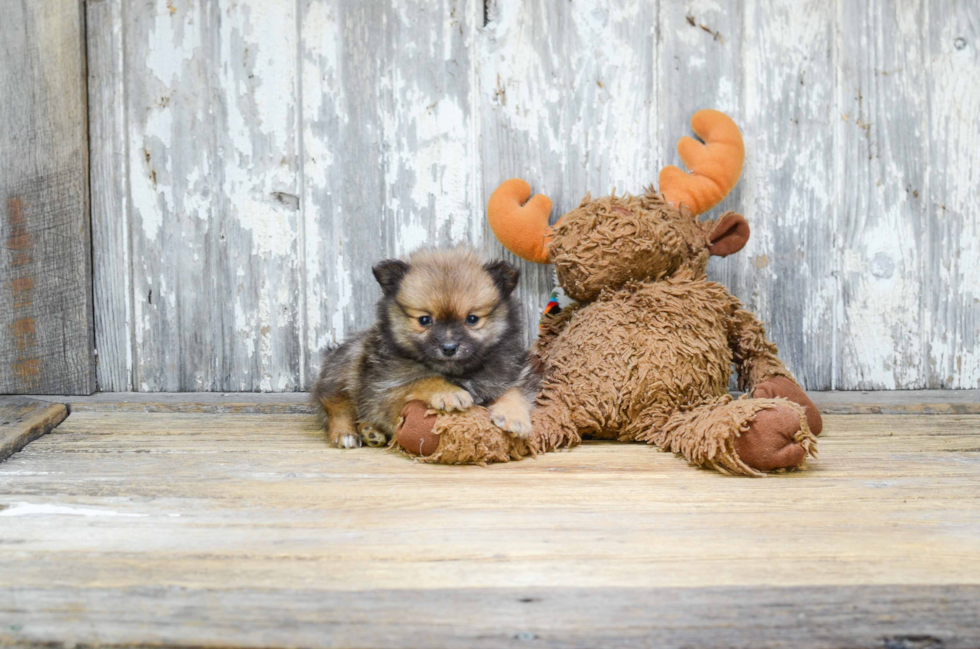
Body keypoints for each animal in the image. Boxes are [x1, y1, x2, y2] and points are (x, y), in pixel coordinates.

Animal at [312, 246, 536, 448]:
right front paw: (449, 392)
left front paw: (514, 417)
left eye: (472, 319)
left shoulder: (509, 374)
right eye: (424, 320)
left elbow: (515, 391)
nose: (449, 347)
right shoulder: (386, 391)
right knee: (336, 404)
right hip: (349, 363)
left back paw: (371, 432)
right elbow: (422, 380)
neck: (457, 372)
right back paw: (346, 433)